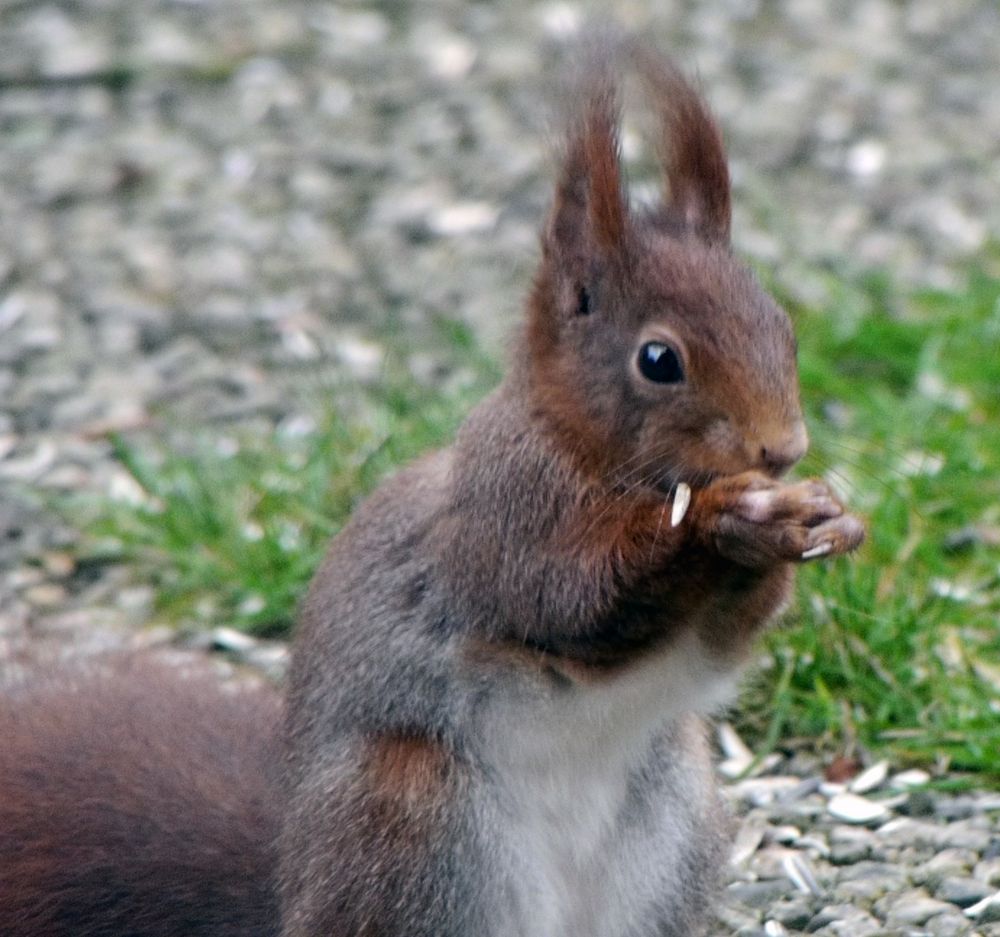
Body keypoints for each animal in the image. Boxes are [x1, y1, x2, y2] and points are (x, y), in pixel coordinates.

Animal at [0, 42, 864, 936]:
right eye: (659, 360)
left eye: (783, 326)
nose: (783, 447)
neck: (588, 449)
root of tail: (293, 896)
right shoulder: (503, 517)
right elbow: (573, 596)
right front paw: (722, 519)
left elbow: (720, 638)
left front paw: (815, 520)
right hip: (415, 819)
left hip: (670, 815)